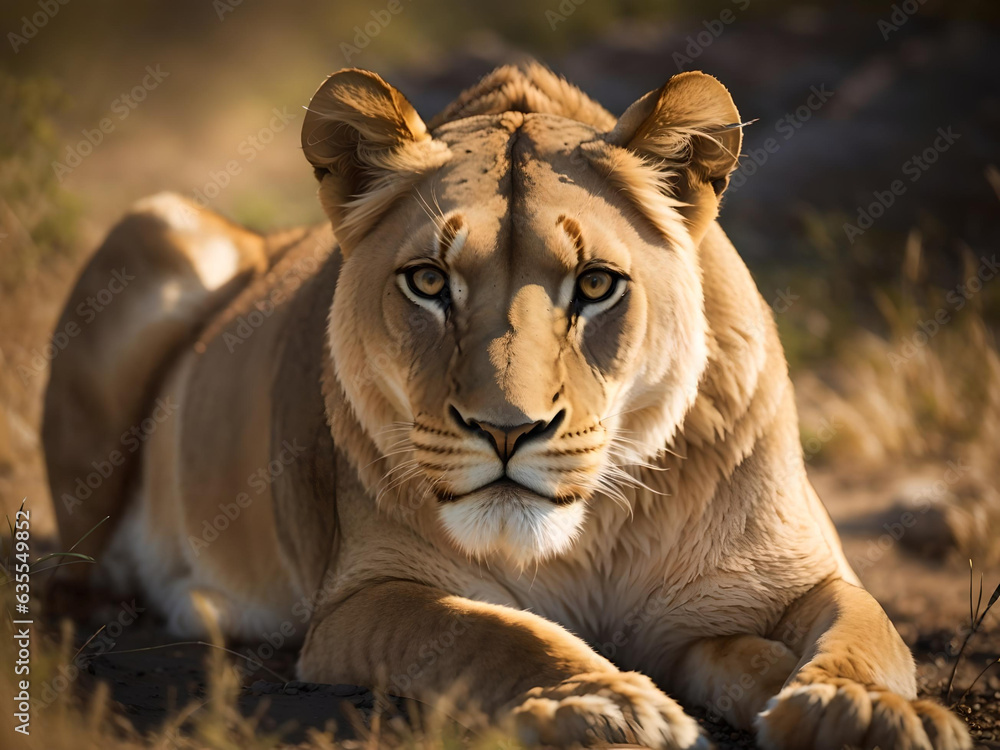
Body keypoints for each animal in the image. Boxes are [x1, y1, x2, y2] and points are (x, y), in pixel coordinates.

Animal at [43, 63, 971, 749]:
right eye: (428, 282)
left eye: (595, 286)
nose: (506, 430)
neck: (597, 534)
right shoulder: (364, 598)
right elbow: (495, 633)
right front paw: (603, 705)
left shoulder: (801, 575)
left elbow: (868, 629)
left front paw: (863, 711)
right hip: (160, 227)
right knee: (86, 567)